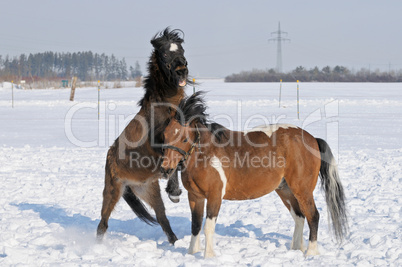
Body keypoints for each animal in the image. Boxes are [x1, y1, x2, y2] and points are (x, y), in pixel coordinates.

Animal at [98, 28, 192, 245]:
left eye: (181, 49)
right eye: (164, 53)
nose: (181, 70)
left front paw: (174, 191)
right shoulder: (160, 145)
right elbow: (174, 156)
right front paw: (174, 192)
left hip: (149, 190)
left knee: (162, 218)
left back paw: (175, 242)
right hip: (112, 190)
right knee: (103, 224)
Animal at [160, 92, 348, 258]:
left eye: (184, 139)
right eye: (165, 135)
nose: (165, 169)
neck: (206, 155)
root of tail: (313, 139)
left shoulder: (214, 196)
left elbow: (208, 227)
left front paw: (208, 256)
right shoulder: (195, 196)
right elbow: (196, 226)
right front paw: (192, 253)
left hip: (302, 190)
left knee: (313, 216)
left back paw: (311, 253)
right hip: (285, 190)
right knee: (299, 216)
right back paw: (296, 249)